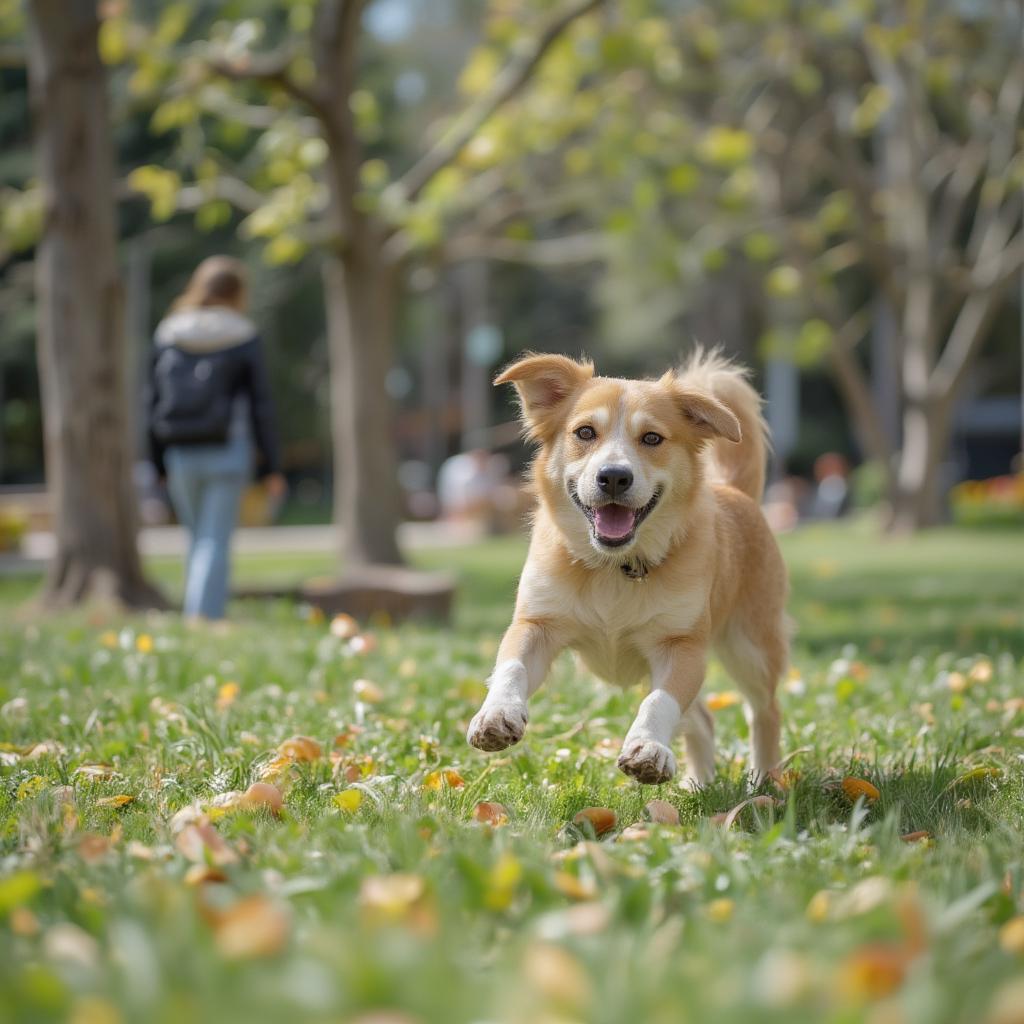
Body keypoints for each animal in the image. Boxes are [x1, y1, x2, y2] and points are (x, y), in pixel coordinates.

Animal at [468, 348, 786, 786]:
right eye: (585, 432)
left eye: (652, 438)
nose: (614, 477)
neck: (612, 567)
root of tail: (735, 491)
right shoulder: (537, 624)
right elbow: (511, 667)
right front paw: (497, 713)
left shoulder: (682, 646)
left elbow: (660, 701)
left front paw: (648, 748)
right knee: (703, 720)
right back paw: (698, 784)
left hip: (749, 645)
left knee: (764, 711)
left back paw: (765, 782)